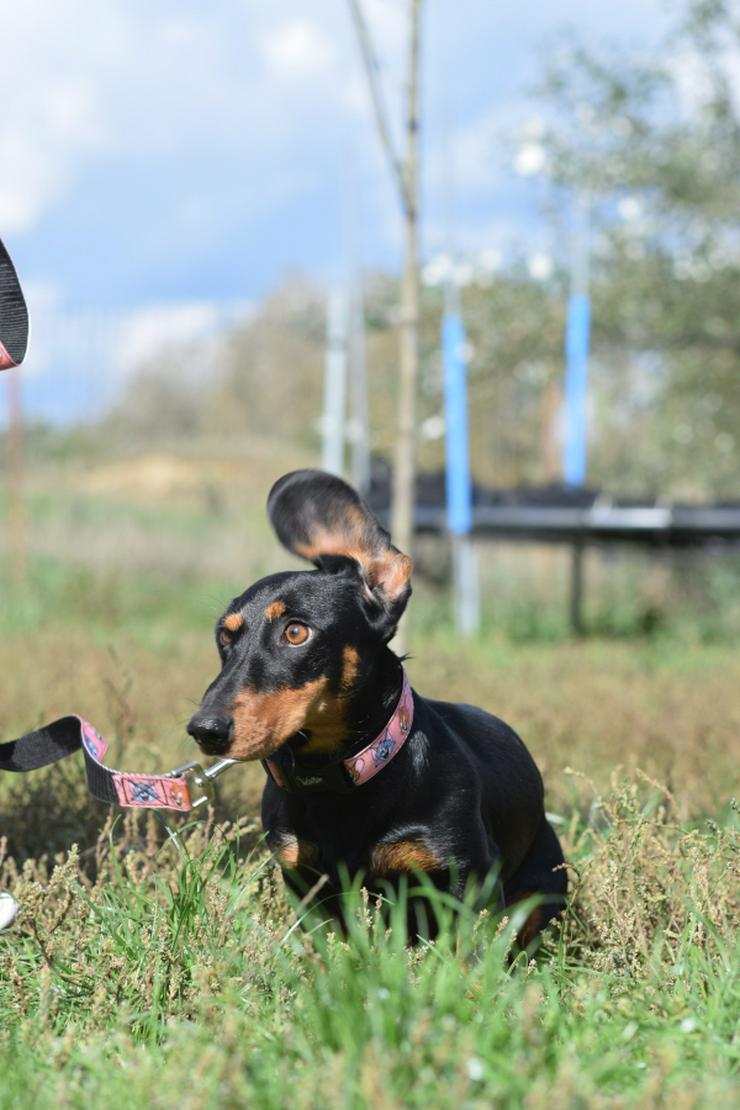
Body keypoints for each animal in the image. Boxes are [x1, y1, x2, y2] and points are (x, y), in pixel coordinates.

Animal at [186, 468, 568, 945]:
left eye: (296, 632)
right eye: (225, 635)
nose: (205, 730)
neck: (337, 785)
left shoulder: (469, 877)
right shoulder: (306, 882)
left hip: (544, 891)